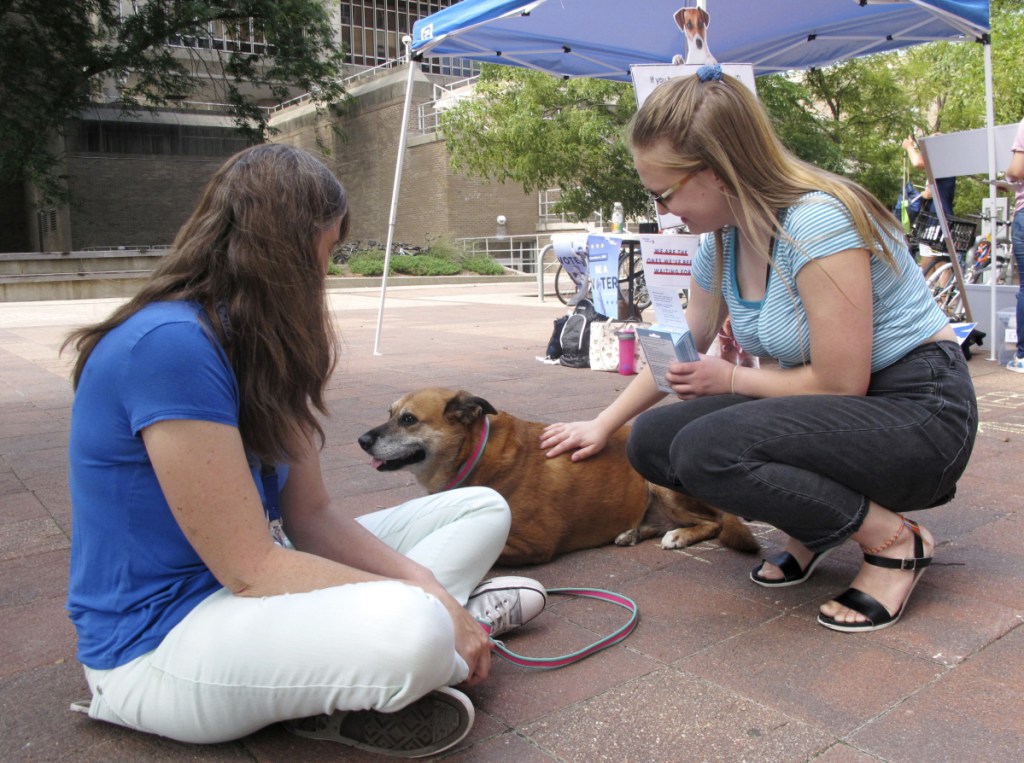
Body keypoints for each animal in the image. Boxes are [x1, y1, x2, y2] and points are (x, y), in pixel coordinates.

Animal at [356, 387, 757, 565]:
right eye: (389, 413)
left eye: (408, 419)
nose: (361, 440)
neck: (475, 456)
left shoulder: (533, 544)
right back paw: (632, 532)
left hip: (661, 483)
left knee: (715, 522)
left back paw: (679, 535)